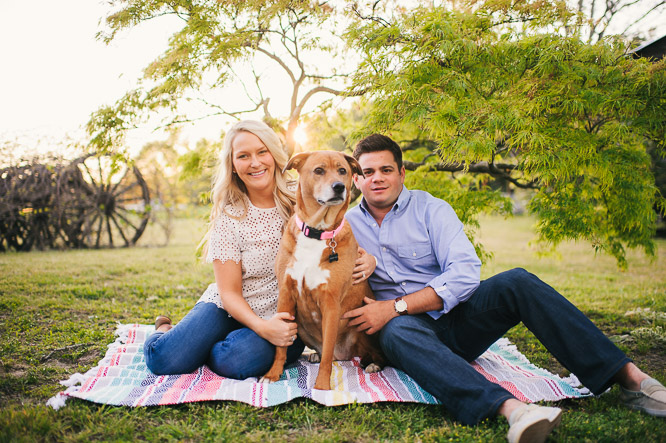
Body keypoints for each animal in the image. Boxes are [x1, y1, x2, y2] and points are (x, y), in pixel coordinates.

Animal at [260, 151, 384, 390]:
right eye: (319, 170)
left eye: (343, 171)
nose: (339, 187)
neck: (317, 231)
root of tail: (345, 356)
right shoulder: (286, 294)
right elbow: (281, 345)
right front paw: (272, 374)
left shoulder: (331, 302)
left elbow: (327, 353)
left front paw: (322, 387)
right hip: (301, 326)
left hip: (365, 325)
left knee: (369, 353)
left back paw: (374, 364)